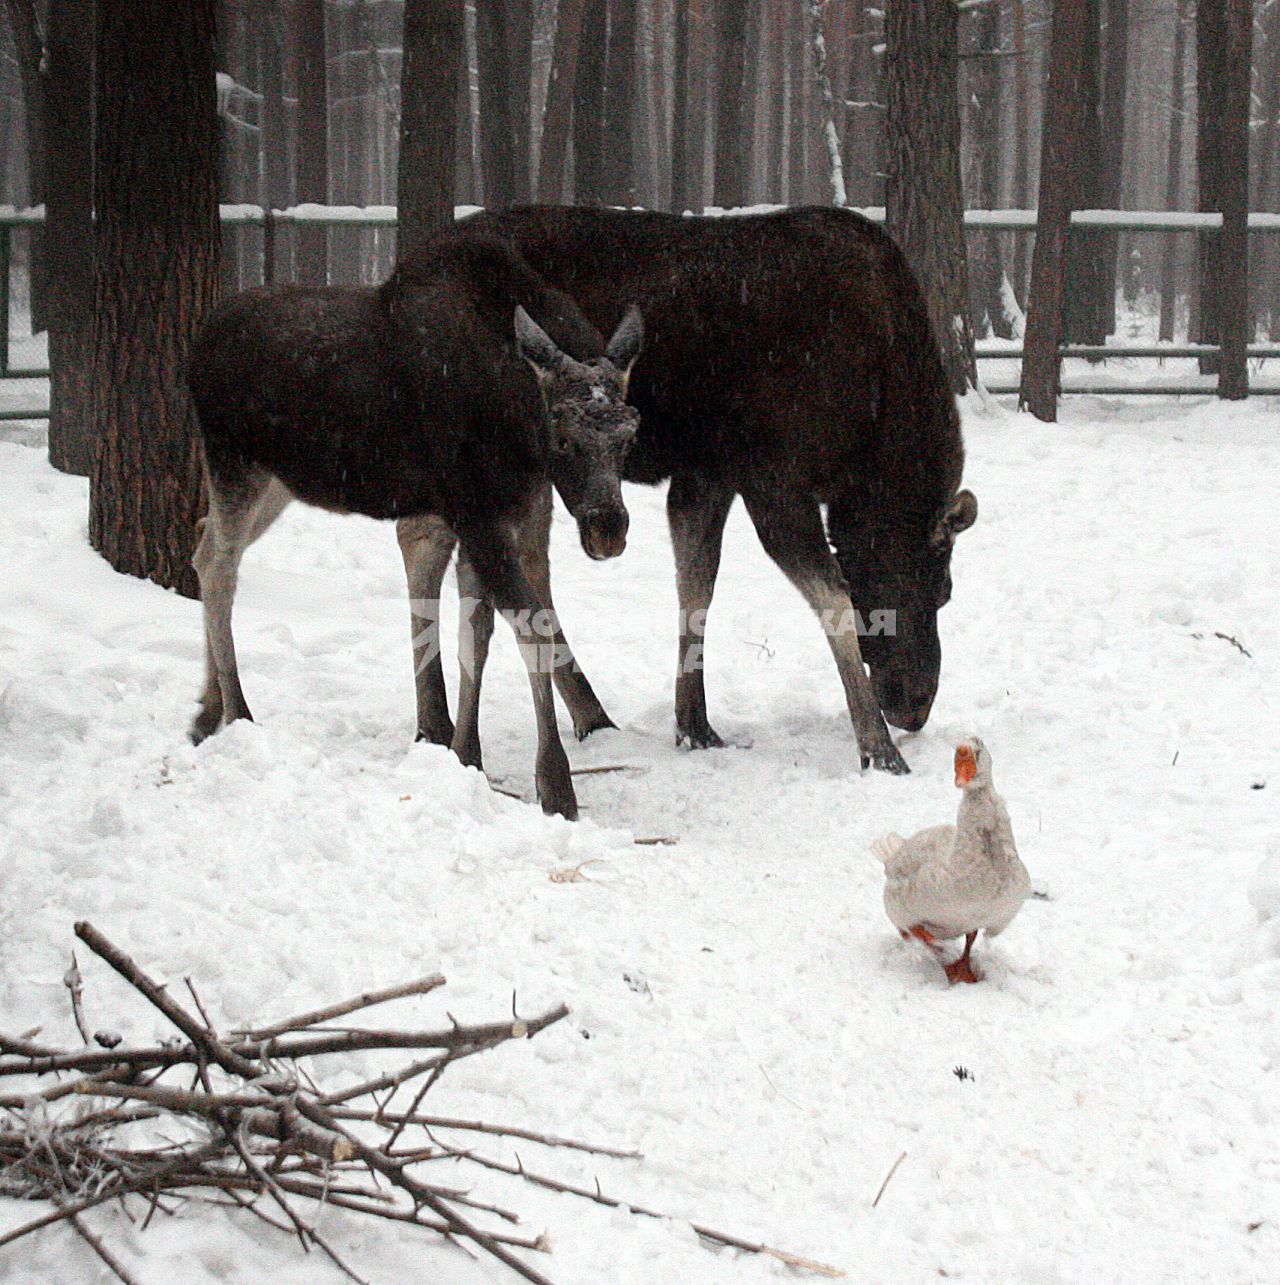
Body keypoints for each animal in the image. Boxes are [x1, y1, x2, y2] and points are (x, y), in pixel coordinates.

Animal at [185, 235, 645, 817]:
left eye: (630, 435)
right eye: (563, 436)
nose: (609, 529)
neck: (518, 419)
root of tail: (194, 348)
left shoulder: (509, 513)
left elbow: (476, 633)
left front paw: (466, 752)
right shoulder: (478, 514)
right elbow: (530, 628)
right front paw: (555, 783)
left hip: (276, 483)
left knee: (204, 549)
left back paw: (207, 708)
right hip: (235, 464)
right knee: (220, 567)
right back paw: (238, 710)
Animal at [403, 205, 981, 776]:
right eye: (942, 589)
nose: (914, 706)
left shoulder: (709, 472)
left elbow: (697, 583)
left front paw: (694, 725)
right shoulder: (773, 480)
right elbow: (832, 599)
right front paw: (877, 747)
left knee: (524, 567)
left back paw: (588, 713)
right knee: (425, 544)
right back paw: (436, 724)